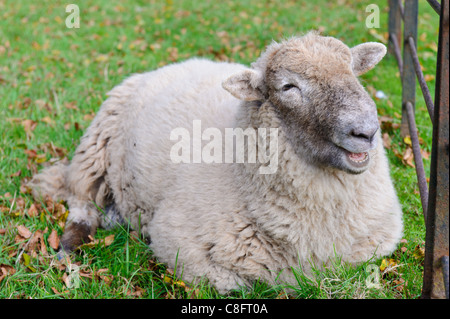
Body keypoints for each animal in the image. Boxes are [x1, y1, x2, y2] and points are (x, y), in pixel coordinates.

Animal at [30, 32, 404, 296]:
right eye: (288, 86)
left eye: (354, 71)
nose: (365, 130)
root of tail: (167, 67)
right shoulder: (179, 245)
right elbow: (241, 285)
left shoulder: (375, 247)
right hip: (95, 149)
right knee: (81, 205)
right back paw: (72, 245)